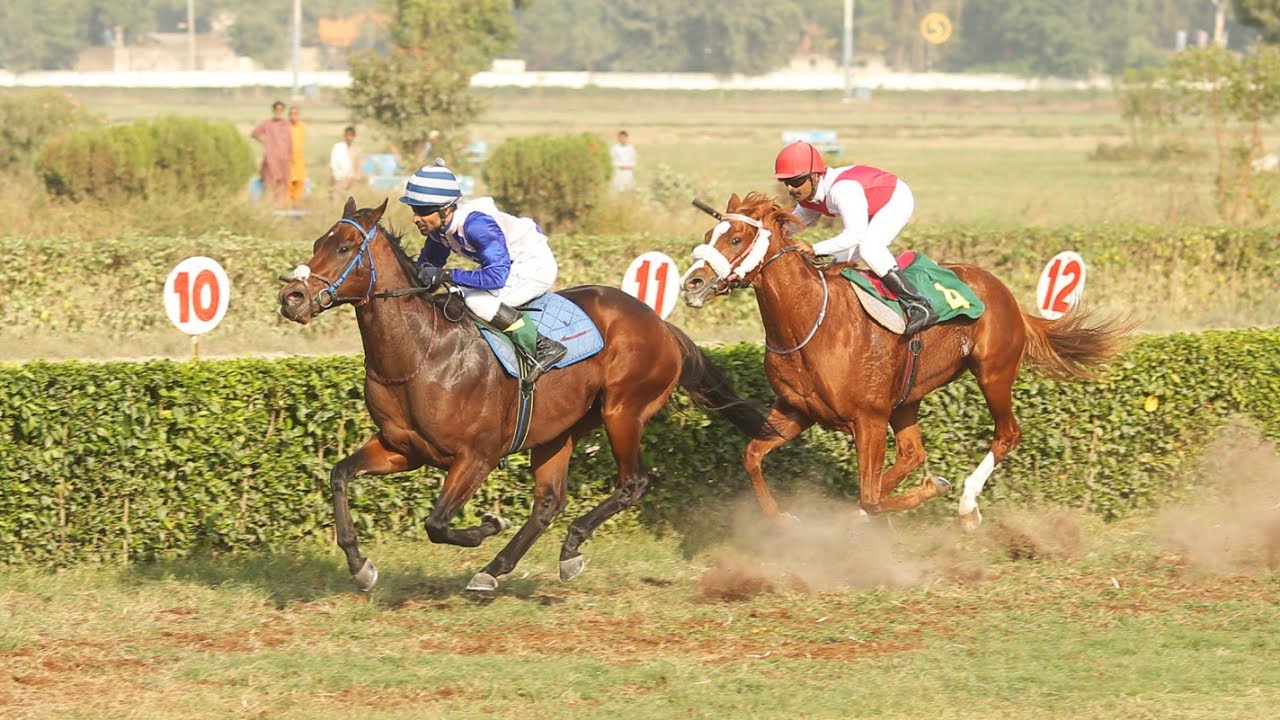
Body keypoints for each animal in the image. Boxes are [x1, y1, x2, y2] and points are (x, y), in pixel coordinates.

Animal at [277, 198, 774, 592]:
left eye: (344, 247)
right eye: (318, 243)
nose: (292, 297)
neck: (421, 354)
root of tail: (659, 324)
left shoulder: (477, 456)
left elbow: (437, 523)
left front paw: (488, 524)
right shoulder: (403, 448)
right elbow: (340, 475)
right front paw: (360, 566)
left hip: (623, 411)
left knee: (633, 483)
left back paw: (566, 546)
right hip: (559, 431)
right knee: (548, 502)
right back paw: (500, 569)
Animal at [679, 192, 1131, 530]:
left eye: (736, 239)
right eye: (709, 233)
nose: (691, 284)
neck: (810, 324)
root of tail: (1005, 293)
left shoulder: (868, 418)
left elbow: (872, 496)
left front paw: (937, 487)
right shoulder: (796, 411)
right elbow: (752, 456)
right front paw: (782, 518)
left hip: (993, 373)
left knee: (1006, 434)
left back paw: (966, 504)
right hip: (906, 397)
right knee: (911, 454)